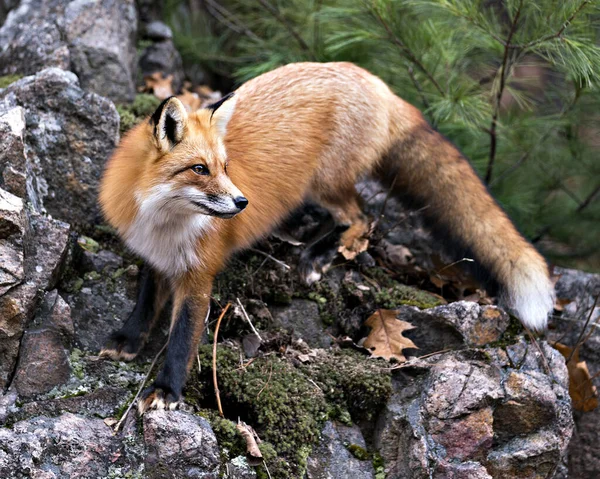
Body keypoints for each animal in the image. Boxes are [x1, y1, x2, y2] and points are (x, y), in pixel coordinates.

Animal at [98, 61, 552, 412]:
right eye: (199, 169)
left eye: (224, 167)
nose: (243, 202)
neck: (164, 223)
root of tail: (373, 79)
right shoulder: (154, 256)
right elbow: (144, 304)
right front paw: (128, 340)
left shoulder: (198, 276)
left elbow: (181, 339)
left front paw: (167, 390)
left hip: (327, 184)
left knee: (361, 217)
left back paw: (319, 254)